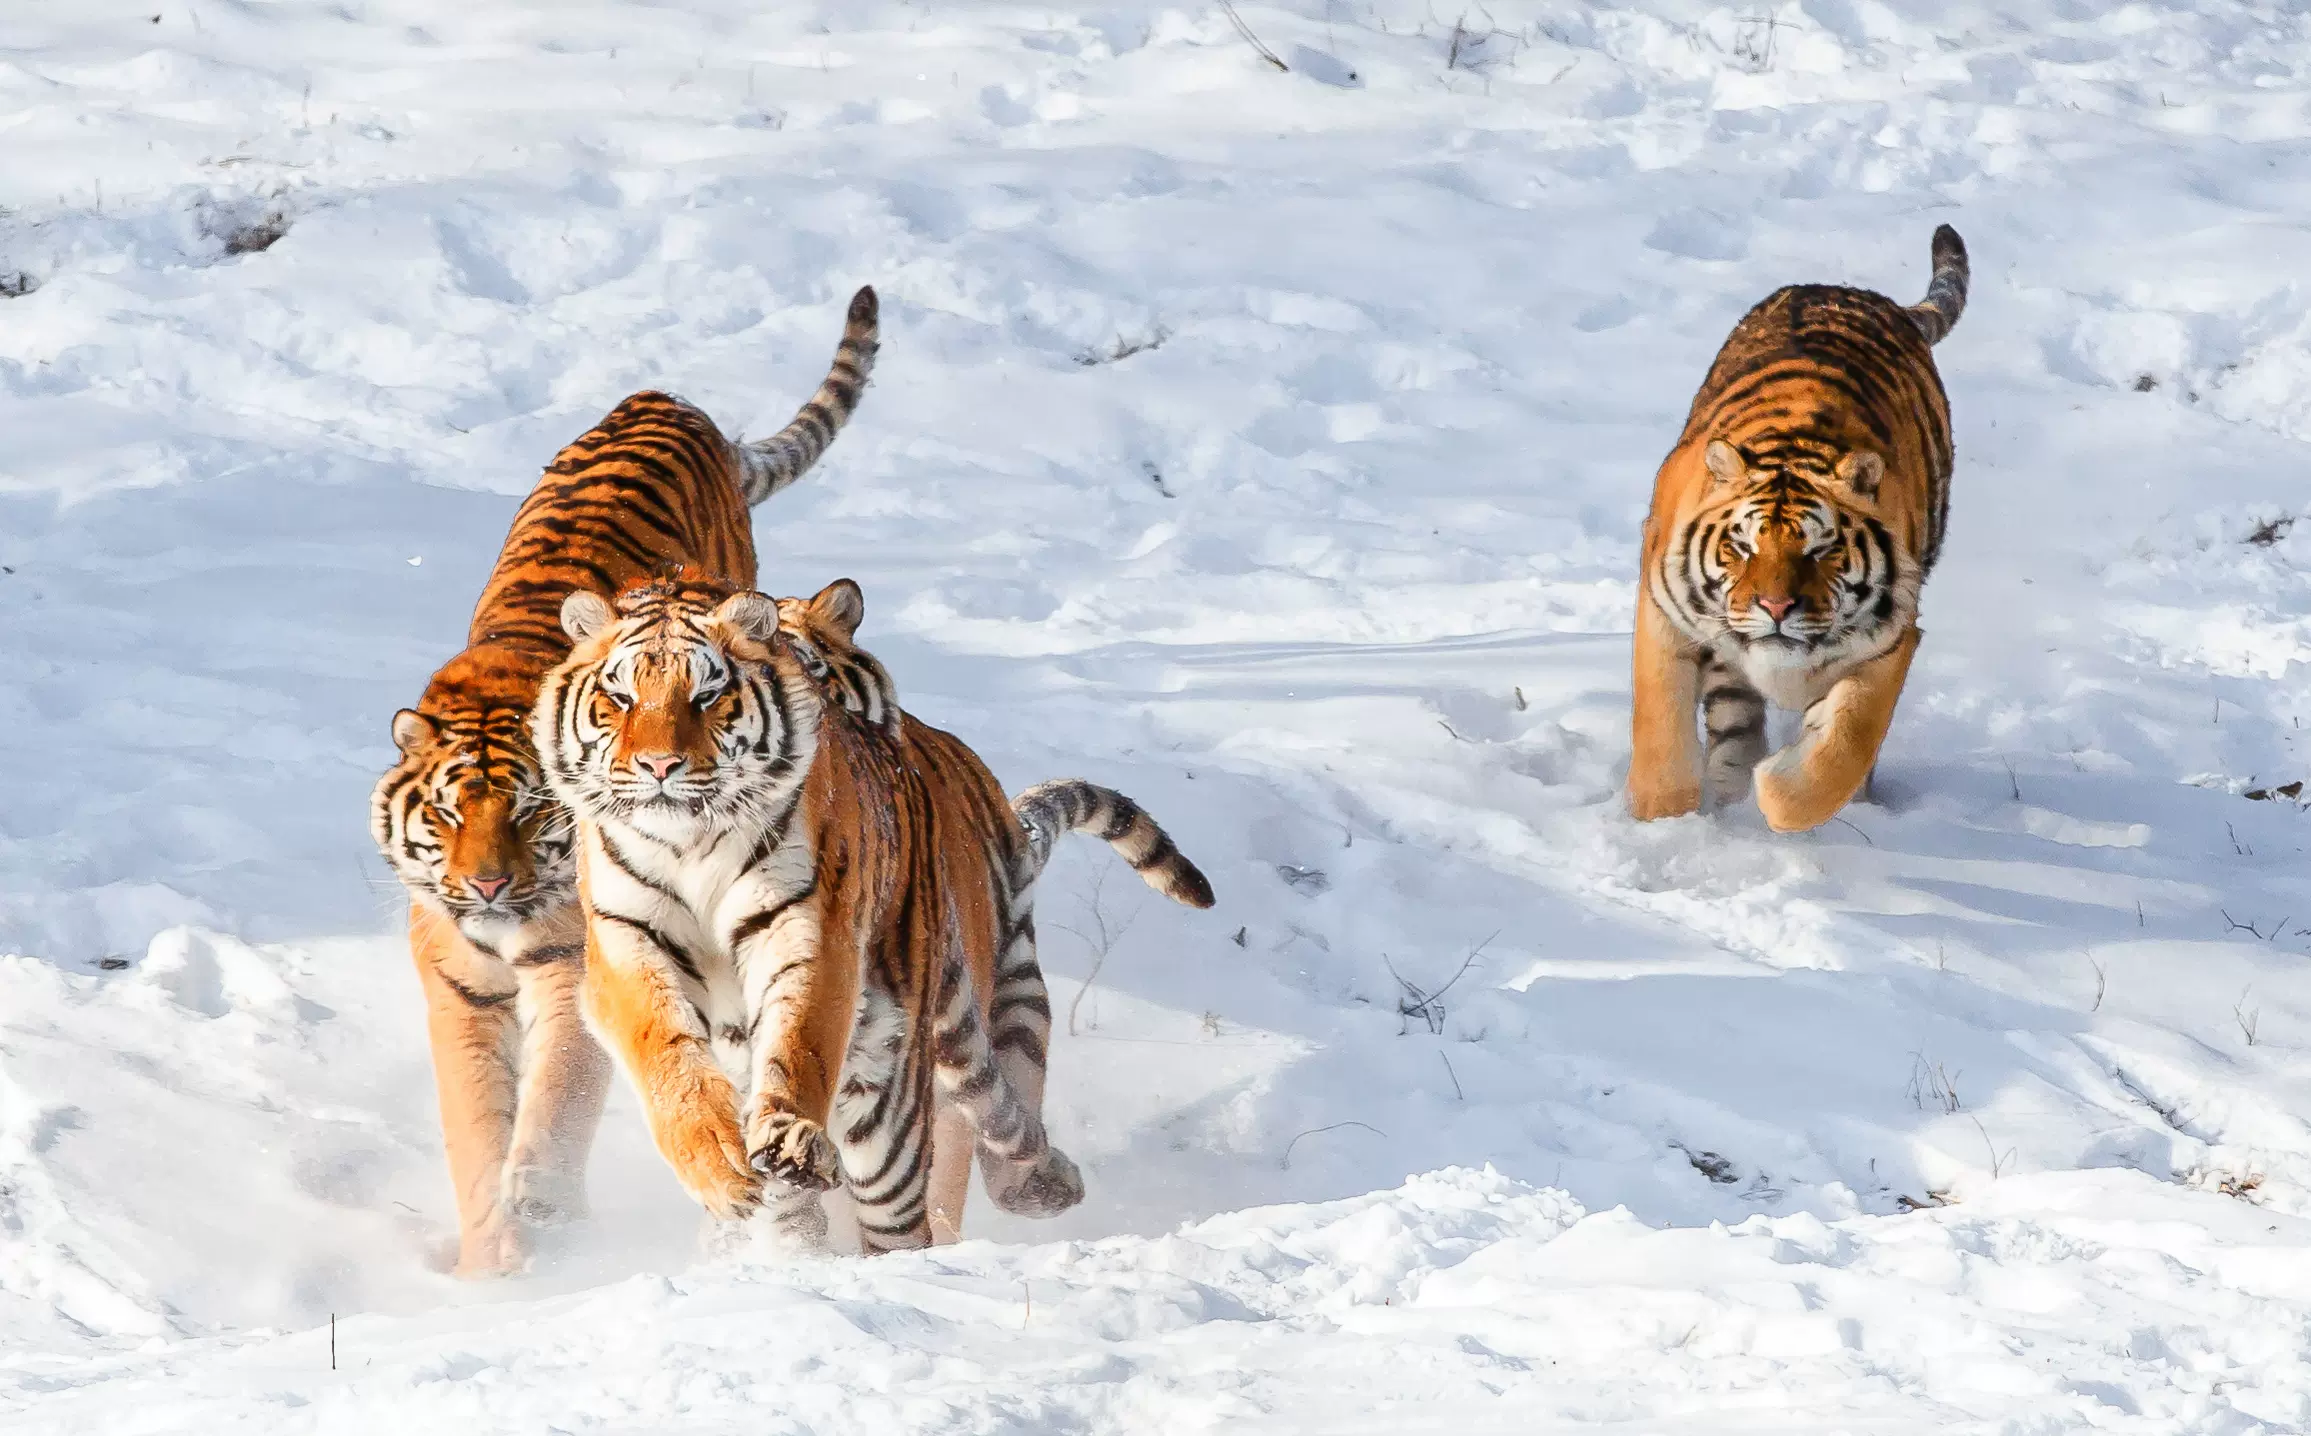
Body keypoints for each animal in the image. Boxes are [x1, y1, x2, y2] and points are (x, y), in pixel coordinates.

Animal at [374, 285, 878, 1267]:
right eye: (448, 818)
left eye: (531, 819)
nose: (486, 888)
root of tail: (664, 398)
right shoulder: (461, 982)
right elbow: (474, 1119)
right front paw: (492, 1253)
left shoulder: (575, 962)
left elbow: (563, 1091)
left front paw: (541, 1195)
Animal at [524, 575, 1210, 1248]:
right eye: (620, 699)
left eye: (707, 696)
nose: (659, 766)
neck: (691, 843)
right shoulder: (627, 939)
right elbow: (667, 1055)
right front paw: (719, 1161)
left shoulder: (808, 928)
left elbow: (800, 1037)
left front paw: (789, 1138)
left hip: (944, 1048)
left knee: (913, 1198)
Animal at [1626, 220, 1968, 827]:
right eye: (1741, 546)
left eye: (1821, 549)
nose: (1776, 607)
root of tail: (1871, 298)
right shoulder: (1664, 612)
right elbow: (1660, 728)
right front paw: (1664, 825)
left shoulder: (1890, 639)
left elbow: (1846, 745)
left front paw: (1778, 788)